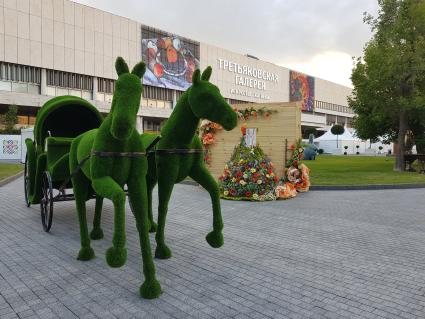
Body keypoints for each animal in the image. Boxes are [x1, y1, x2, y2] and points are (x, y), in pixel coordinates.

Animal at [69, 56, 161, 298]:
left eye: (139, 90)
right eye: (117, 86)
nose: (121, 127)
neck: (120, 146)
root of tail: (77, 138)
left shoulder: (137, 183)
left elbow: (141, 222)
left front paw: (150, 282)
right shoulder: (102, 179)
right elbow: (119, 198)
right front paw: (117, 252)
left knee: (100, 200)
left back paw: (96, 232)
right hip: (80, 180)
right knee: (80, 206)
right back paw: (85, 249)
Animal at [141, 67, 237, 260]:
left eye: (218, 91)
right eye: (206, 96)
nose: (232, 119)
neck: (180, 141)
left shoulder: (196, 170)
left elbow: (214, 190)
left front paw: (216, 236)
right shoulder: (167, 176)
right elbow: (163, 207)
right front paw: (161, 247)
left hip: (151, 177)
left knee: (147, 194)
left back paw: (150, 225)